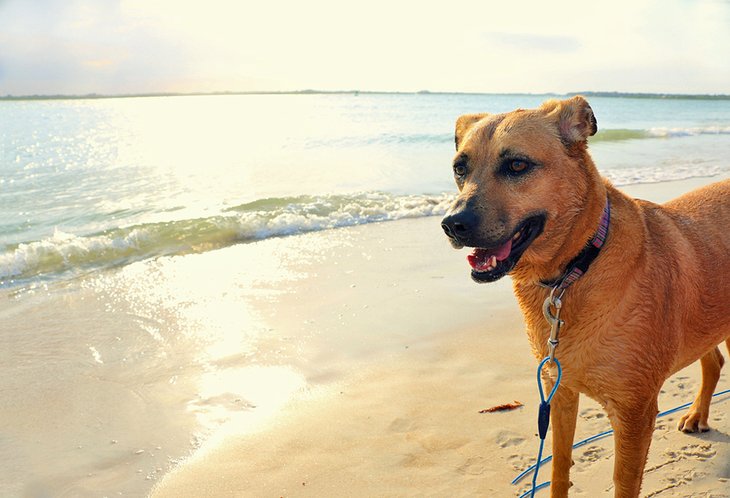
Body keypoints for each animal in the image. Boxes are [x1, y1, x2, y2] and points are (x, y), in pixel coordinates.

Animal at [438, 95, 728, 496]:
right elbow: (559, 465)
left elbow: (624, 482)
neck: (577, 266)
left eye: (517, 165)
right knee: (713, 361)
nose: (452, 224)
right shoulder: (558, 392)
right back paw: (698, 414)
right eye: (459, 169)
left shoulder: (633, 413)